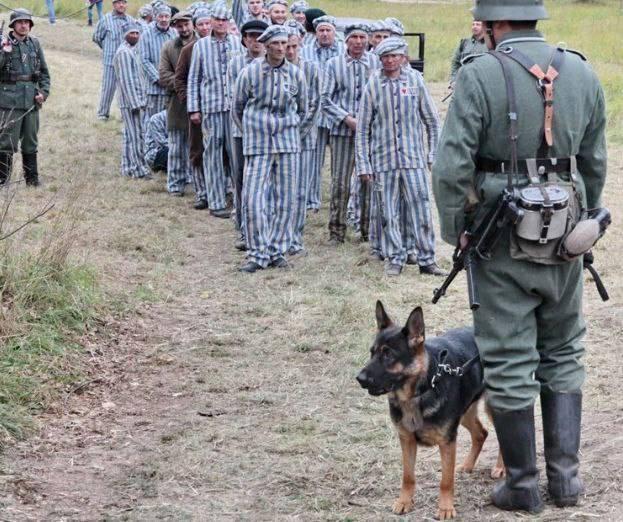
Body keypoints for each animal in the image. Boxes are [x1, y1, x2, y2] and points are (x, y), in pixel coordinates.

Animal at [358, 300, 504, 516]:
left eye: (388, 354)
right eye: (372, 352)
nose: (359, 378)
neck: (419, 391)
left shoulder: (447, 442)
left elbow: (446, 481)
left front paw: (445, 508)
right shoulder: (407, 440)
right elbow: (408, 476)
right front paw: (404, 501)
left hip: (495, 406)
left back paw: (501, 468)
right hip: (465, 412)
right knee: (481, 433)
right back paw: (468, 465)